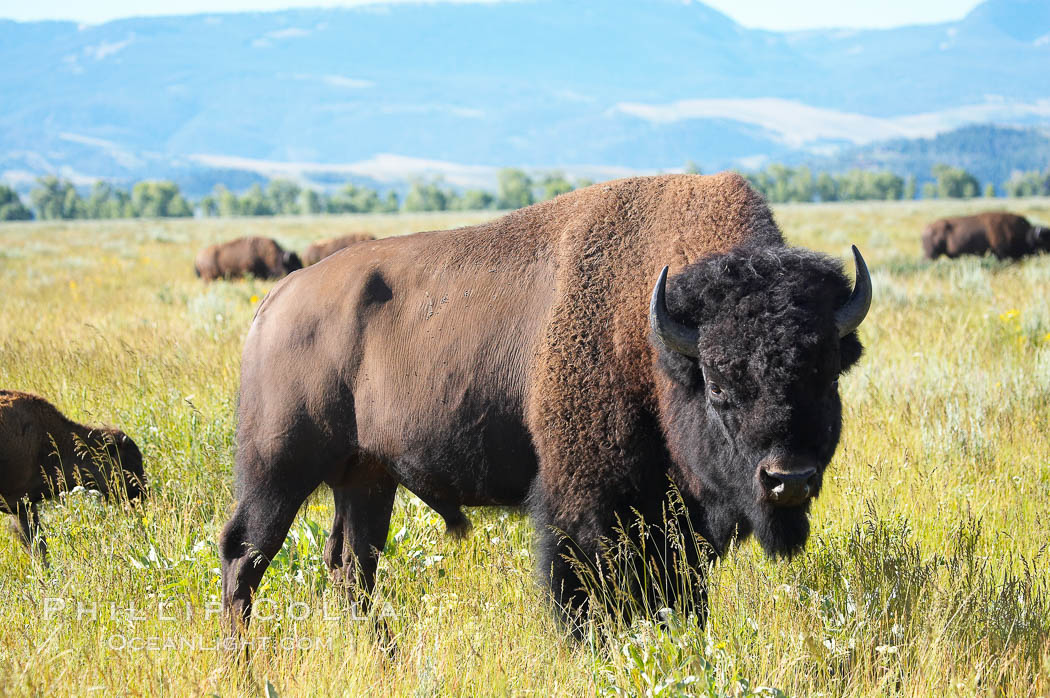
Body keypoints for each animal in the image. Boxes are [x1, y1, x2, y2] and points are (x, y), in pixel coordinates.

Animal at [219, 173, 869, 629]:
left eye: (826, 376)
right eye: (717, 383)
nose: (788, 479)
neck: (651, 336)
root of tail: (276, 301)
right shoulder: (582, 510)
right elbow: (585, 599)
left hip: (366, 478)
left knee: (351, 568)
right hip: (277, 470)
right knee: (243, 556)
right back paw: (242, 665)